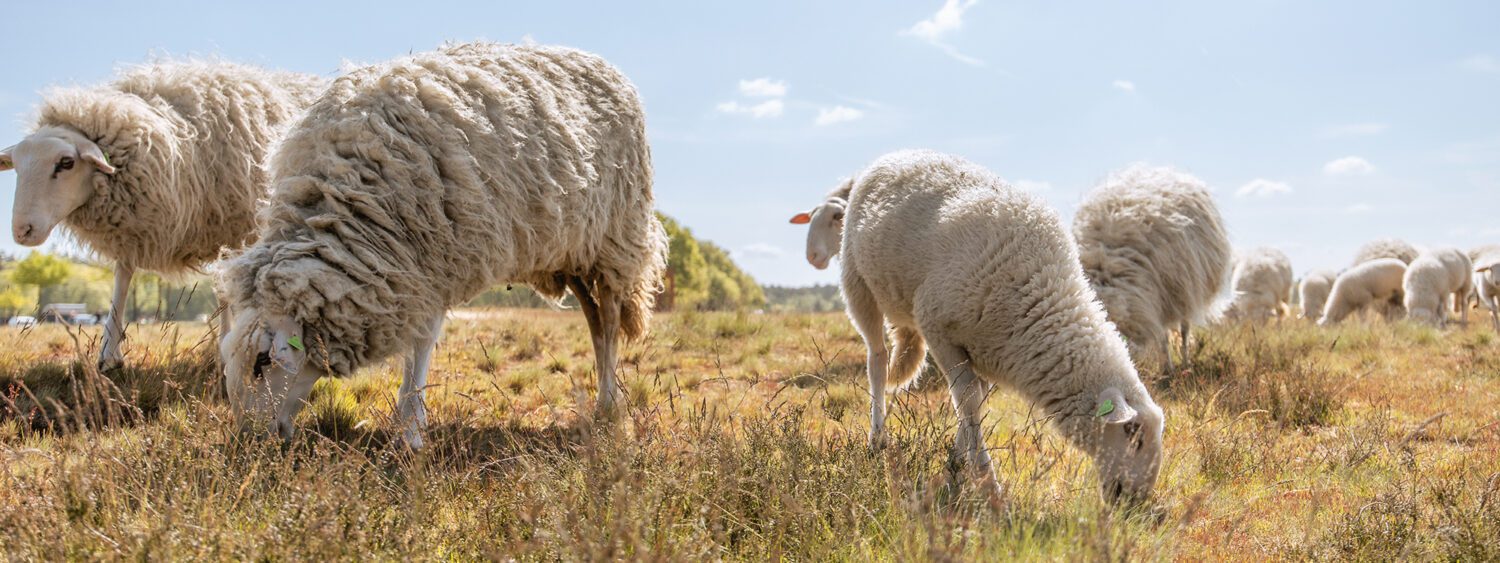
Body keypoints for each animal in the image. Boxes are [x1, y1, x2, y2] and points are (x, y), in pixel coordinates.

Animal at [0, 60, 322, 370]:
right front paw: (109, 355)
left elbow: (227, 291)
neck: (182, 143)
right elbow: (122, 280)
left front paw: (231, 348)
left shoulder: (238, 226)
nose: (22, 231)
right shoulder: (135, 228)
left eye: (66, 162)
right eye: (17, 166)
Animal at [217, 42, 669, 450]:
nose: (248, 441)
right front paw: (409, 426)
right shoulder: (410, 272)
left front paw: (411, 432)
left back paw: (608, 405)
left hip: (614, 241)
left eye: (262, 362)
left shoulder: (435, 262)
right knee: (593, 321)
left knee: (608, 320)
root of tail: (603, 65)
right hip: (571, 253)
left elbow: (420, 346)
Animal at [840, 150, 1164, 507]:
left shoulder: (993, 349)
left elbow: (975, 403)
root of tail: (897, 154)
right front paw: (987, 483)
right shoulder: (938, 328)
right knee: (877, 361)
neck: (1040, 293)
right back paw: (877, 439)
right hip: (857, 281)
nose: (1136, 502)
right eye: (1133, 435)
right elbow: (967, 401)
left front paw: (956, 467)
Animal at [1074, 165, 1236, 372]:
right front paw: (1165, 367)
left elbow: (1168, 335)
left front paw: (1170, 369)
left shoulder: (1165, 295)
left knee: (1184, 329)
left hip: (1184, 290)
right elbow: (1162, 337)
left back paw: (1185, 363)